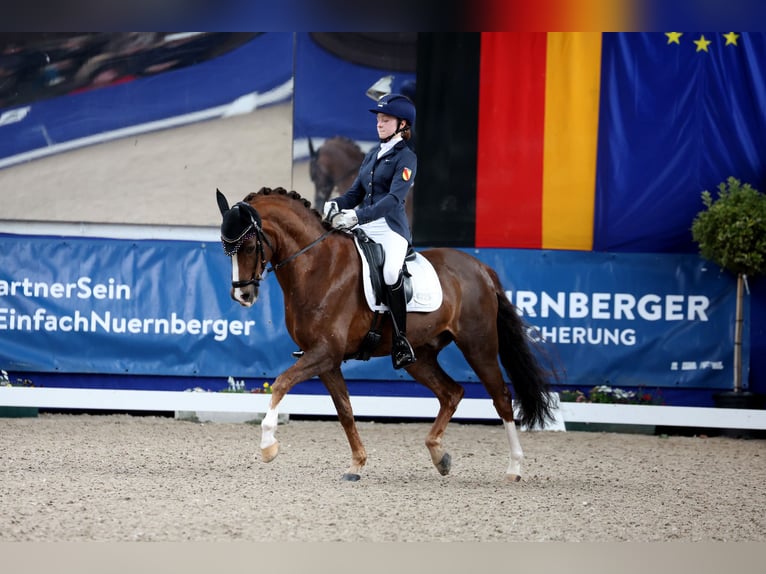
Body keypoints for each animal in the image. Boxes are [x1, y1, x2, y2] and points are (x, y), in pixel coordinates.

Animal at [219, 188, 556, 482]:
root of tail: (481, 268)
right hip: (419, 356)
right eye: (226, 250)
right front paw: (356, 464)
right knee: (452, 392)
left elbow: (281, 383)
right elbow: (344, 410)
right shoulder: (326, 360)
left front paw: (268, 446)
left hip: (478, 345)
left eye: (247, 246)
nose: (243, 296)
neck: (318, 266)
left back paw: (514, 468)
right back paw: (440, 456)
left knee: (501, 398)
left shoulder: (325, 352)